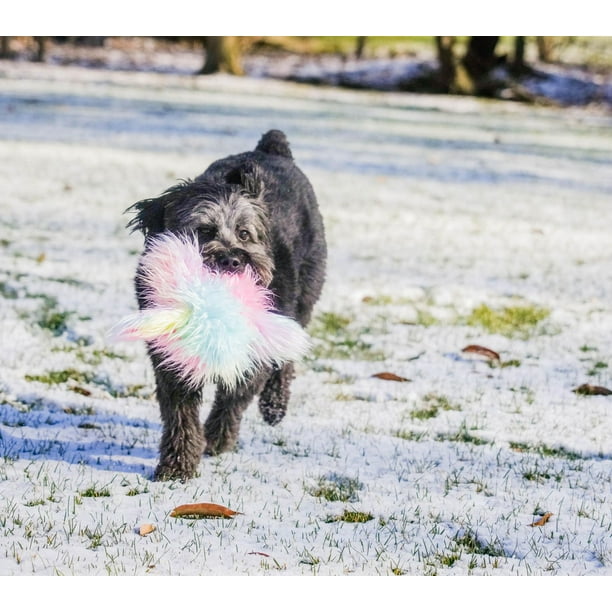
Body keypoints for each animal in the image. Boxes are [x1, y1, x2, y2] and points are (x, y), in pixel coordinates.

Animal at [127, 130, 328, 482]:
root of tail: (272, 149)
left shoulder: (255, 351)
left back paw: (274, 406)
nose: (233, 259)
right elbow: (180, 414)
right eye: (204, 230)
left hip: (303, 299)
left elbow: (234, 396)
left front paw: (218, 439)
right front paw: (178, 465)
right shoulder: (171, 357)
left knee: (287, 357)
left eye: (244, 233)